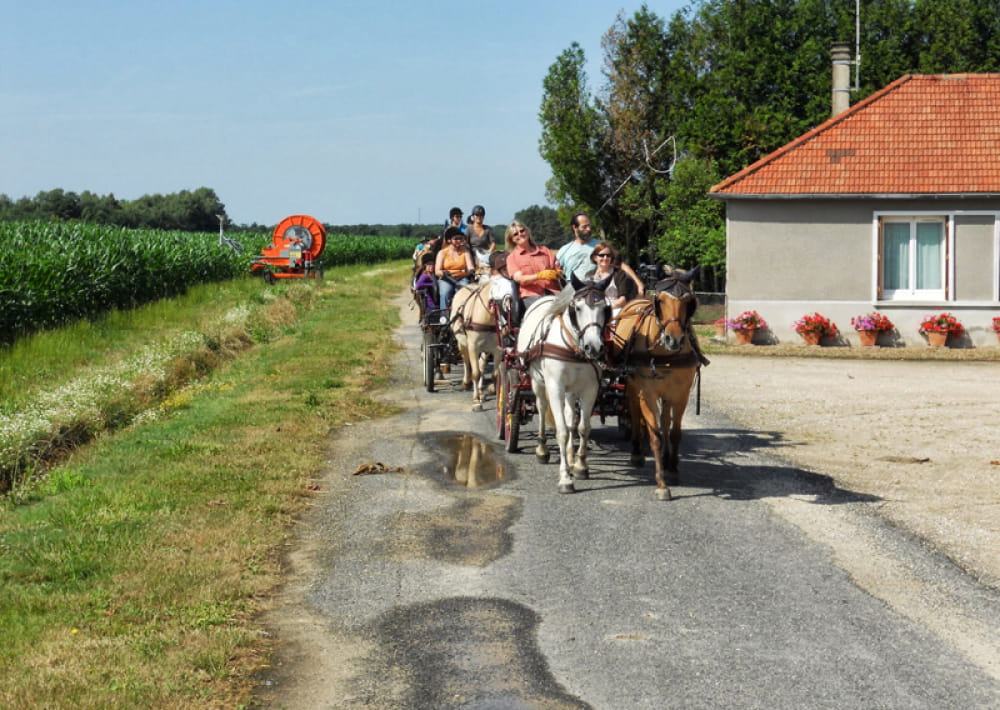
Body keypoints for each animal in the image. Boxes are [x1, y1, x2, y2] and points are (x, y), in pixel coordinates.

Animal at [450, 280, 500, 408]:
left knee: (481, 364)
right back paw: (467, 383)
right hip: (462, 343)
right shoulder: (473, 347)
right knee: (466, 361)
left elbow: (495, 375)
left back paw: (481, 391)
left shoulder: (497, 349)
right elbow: (475, 373)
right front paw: (476, 400)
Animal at [520, 272, 612, 496]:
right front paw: (565, 479)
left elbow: (583, 428)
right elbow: (561, 431)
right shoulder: (555, 387)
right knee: (542, 408)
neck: (573, 347)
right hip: (538, 382)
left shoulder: (590, 389)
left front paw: (579, 466)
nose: (594, 347)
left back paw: (570, 457)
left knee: (571, 417)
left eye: (605, 308)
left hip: (571, 391)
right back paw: (542, 450)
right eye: (577, 308)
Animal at [604, 268, 708, 500]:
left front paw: (673, 469)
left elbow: (674, 433)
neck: (665, 354)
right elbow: (656, 435)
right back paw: (636, 452)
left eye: (688, 301)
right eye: (660, 300)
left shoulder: (681, 394)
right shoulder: (648, 393)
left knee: (665, 419)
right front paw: (661, 484)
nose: (673, 340)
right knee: (634, 413)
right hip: (633, 386)